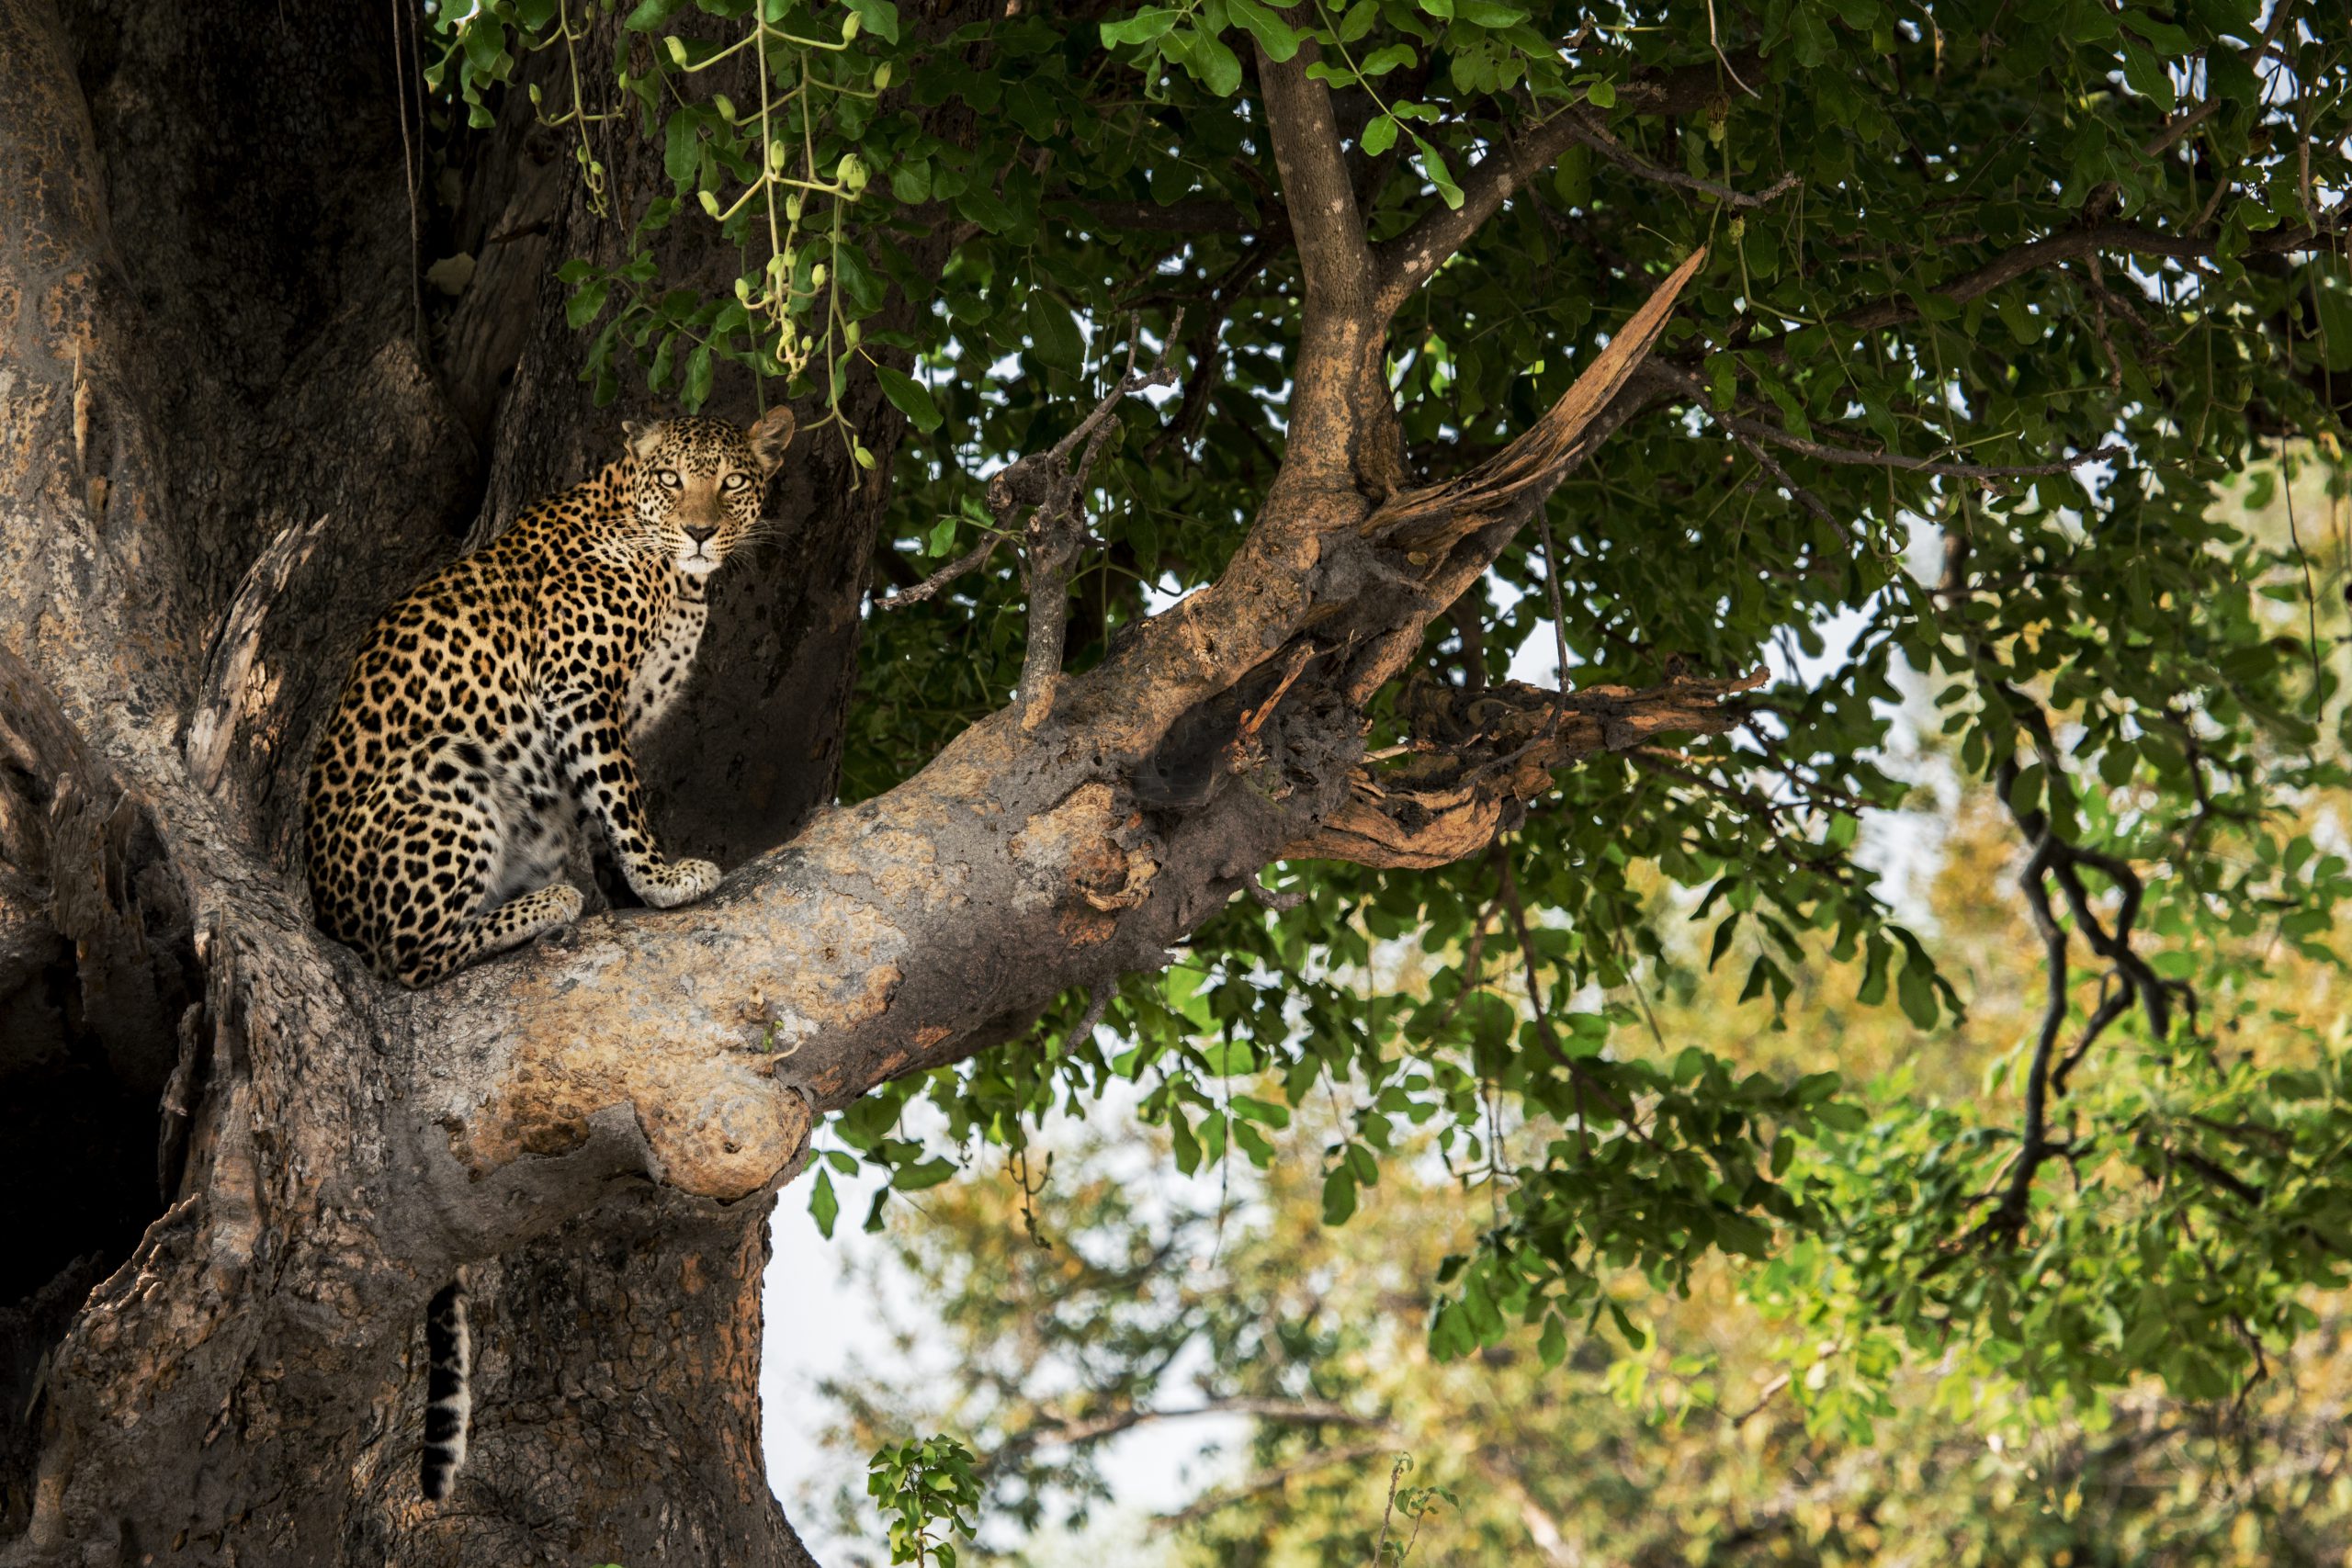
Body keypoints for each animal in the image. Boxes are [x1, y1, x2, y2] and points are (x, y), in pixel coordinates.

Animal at [303, 409, 795, 991]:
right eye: (669, 479)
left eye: (733, 482)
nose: (701, 533)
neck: (678, 580)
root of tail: (329, 917)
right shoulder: (579, 684)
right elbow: (623, 796)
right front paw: (663, 878)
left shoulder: (595, 713)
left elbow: (599, 802)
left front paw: (630, 891)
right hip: (443, 762)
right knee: (409, 957)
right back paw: (548, 903)